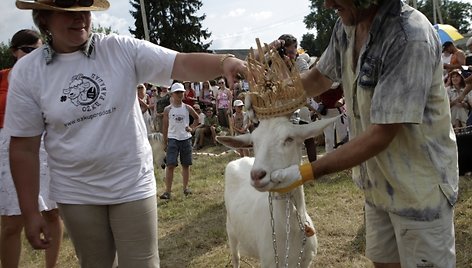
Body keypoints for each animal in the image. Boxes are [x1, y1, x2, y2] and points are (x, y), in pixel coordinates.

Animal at [218, 115, 336, 268]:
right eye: (253, 142)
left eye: (289, 139)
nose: (257, 175)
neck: (291, 231)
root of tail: (240, 159)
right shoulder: (270, 262)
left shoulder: (306, 261)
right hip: (230, 230)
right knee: (235, 256)